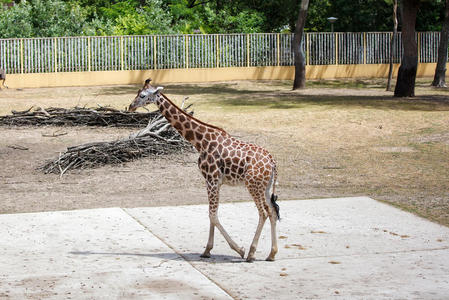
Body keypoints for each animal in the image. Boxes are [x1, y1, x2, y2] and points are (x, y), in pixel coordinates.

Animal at [128, 79, 278, 262]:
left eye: (143, 95)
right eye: (137, 93)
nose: (130, 106)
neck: (200, 141)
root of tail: (272, 163)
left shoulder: (212, 179)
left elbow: (213, 215)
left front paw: (238, 249)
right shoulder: (213, 181)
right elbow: (211, 215)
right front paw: (207, 251)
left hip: (253, 185)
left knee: (263, 212)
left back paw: (251, 253)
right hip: (265, 187)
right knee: (272, 211)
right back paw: (272, 254)